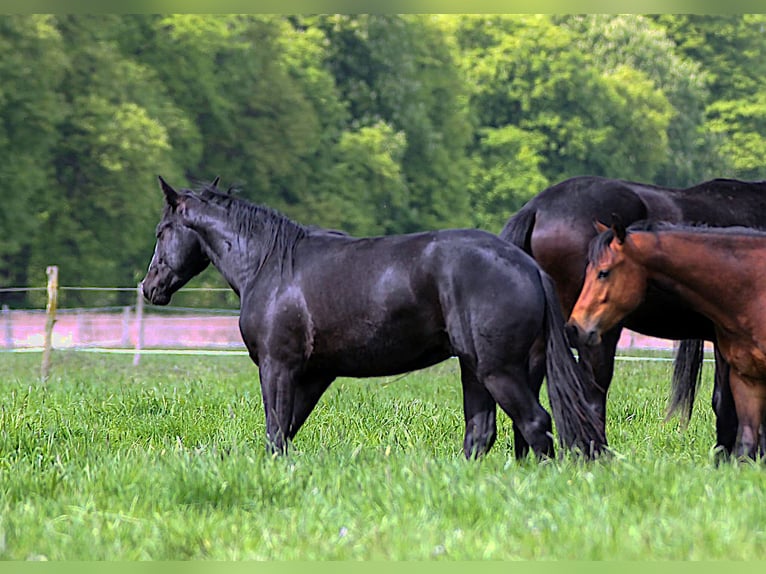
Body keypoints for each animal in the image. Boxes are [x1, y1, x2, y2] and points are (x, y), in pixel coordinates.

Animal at [140, 176, 605, 460]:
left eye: (162, 230)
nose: (149, 287)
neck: (270, 264)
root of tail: (528, 266)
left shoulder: (278, 367)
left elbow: (276, 432)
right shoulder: (314, 374)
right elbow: (287, 430)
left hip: (497, 369)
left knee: (533, 423)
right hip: (480, 368)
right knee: (485, 432)